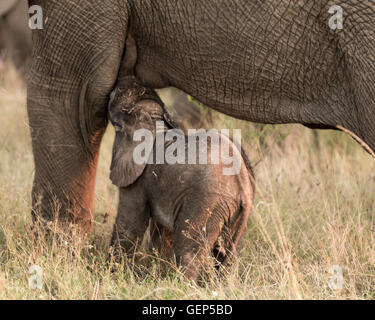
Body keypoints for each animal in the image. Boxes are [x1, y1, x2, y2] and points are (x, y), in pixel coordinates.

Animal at [108, 76, 256, 282]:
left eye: (114, 97)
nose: (118, 82)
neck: (155, 121)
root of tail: (244, 189)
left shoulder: (139, 178)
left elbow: (130, 225)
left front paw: (108, 275)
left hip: (206, 203)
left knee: (188, 250)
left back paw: (182, 285)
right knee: (225, 257)